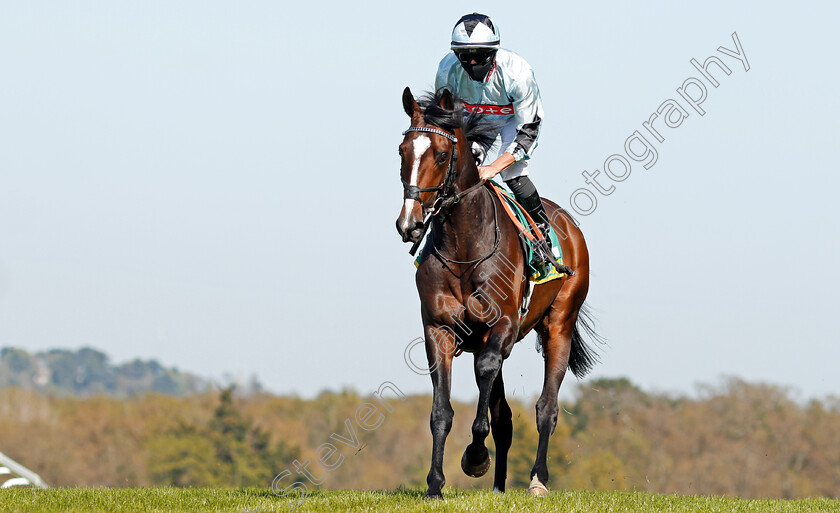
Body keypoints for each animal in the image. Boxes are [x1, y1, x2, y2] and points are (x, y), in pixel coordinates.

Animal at [398, 87, 600, 496]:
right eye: (402, 151)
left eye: (440, 154)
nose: (409, 224)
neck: (463, 245)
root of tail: (569, 225)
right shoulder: (439, 330)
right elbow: (442, 412)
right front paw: (435, 484)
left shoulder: (503, 325)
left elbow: (486, 390)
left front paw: (475, 457)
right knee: (504, 415)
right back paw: (499, 487)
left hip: (558, 325)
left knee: (546, 408)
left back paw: (537, 479)